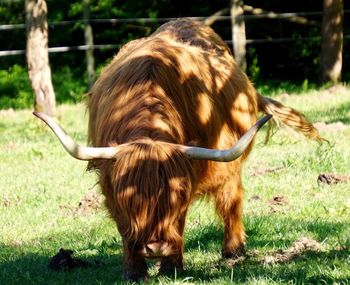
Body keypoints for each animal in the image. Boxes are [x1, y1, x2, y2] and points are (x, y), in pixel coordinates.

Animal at [34, 18, 322, 280]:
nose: (155, 248)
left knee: (231, 200)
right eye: (127, 196)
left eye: (178, 195)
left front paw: (172, 268)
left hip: (232, 164)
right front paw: (134, 271)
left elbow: (182, 221)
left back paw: (233, 250)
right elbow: (123, 226)